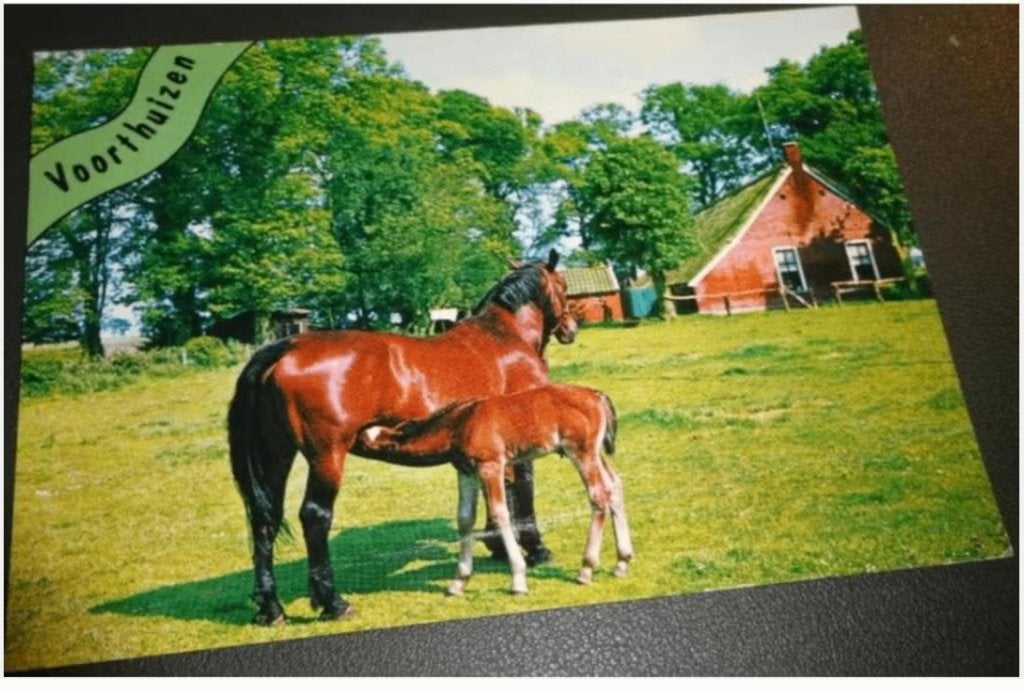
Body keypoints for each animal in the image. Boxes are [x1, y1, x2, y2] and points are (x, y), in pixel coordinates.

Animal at [228, 250, 578, 625]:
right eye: (563, 285)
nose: (571, 328)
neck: (504, 336)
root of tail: (284, 348)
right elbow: (523, 490)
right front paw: (537, 548)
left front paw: (499, 545)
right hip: (327, 455)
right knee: (314, 516)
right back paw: (333, 602)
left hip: (276, 455)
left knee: (265, 519)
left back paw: (270, 608)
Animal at [358, 383, 634, 596]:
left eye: (364, 440)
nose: (350, 437)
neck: (460, 423)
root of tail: (596, 395)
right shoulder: (466, 471)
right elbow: (465, 518)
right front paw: (459, 582)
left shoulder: (491, 466)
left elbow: (500, 513)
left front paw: (518, 579)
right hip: (595, 454)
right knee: (615, 485)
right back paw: (622, 561)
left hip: (581, 452)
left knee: (598, 496)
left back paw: (586, 569)